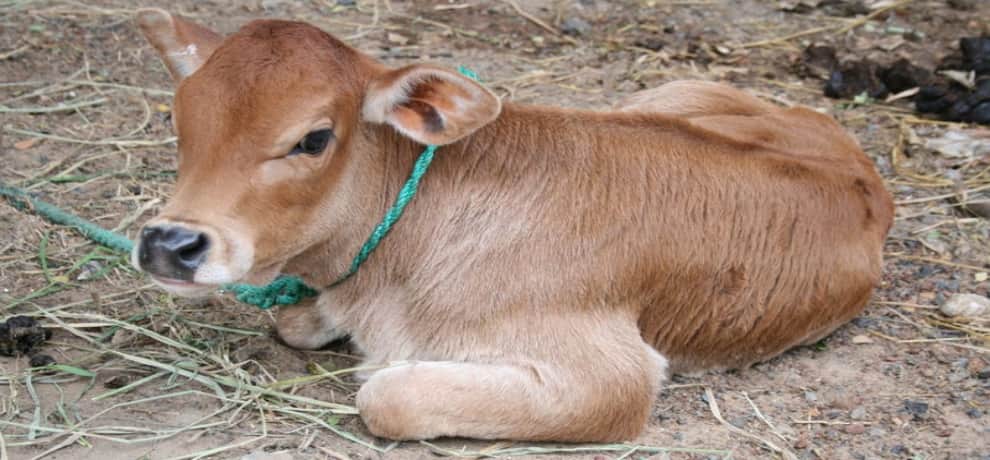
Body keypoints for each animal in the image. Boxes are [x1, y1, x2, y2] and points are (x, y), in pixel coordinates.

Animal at [132, 8, 893, 442]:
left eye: (313, 138)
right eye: (181, 118)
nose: (169, 243)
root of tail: (856, 159)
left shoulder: (611, 376)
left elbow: (388, 397)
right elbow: (293, 321)